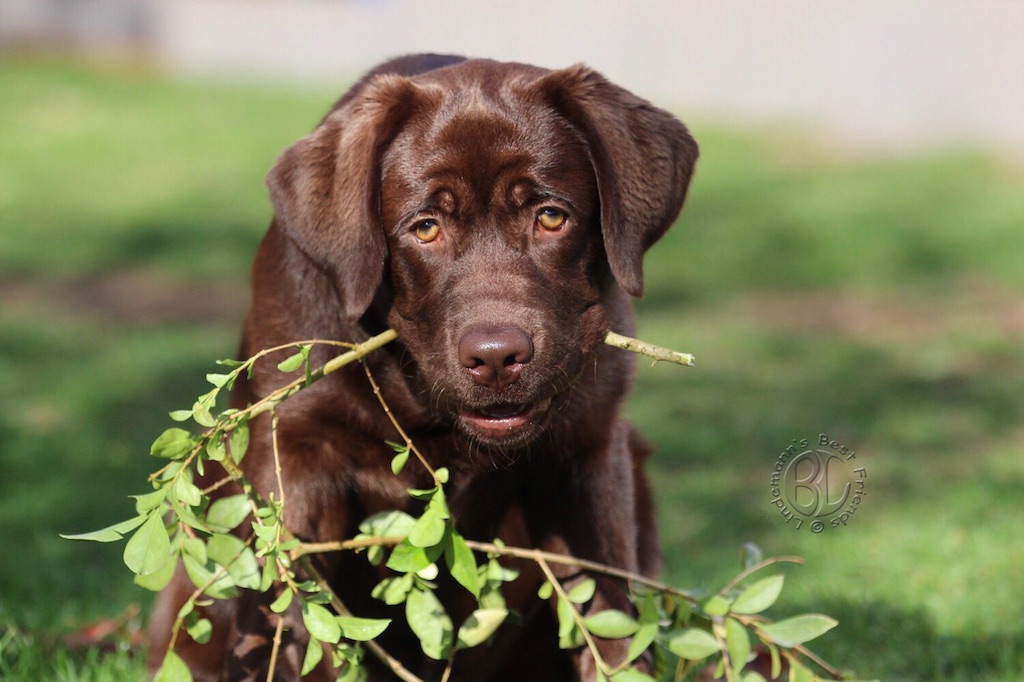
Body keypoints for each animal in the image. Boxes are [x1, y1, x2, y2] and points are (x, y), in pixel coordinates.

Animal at [148, 54, 698, 681]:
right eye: (426, 227)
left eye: (551, 216)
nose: (496, 356)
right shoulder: (297, 451)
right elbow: (298, 623)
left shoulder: (586, 448)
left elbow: (610, 624)